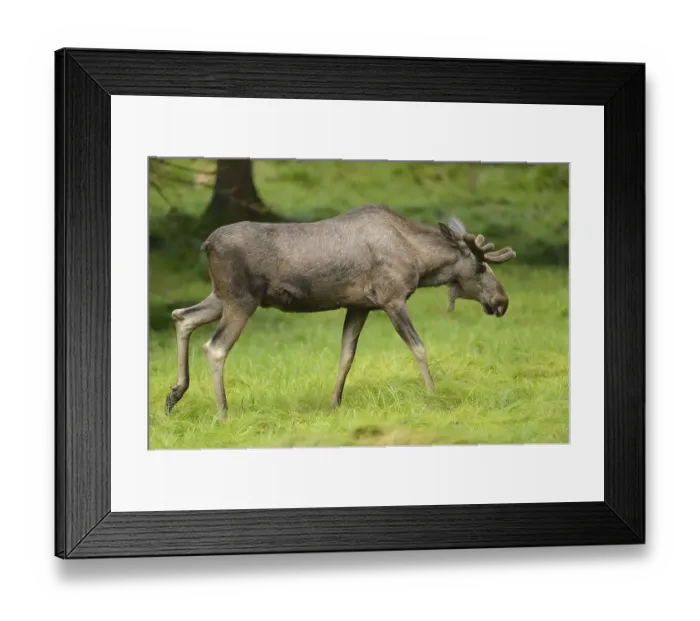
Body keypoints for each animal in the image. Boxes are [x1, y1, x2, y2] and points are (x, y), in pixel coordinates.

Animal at [165, 204, 516, 420]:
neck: (419, 261)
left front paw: (334, 403)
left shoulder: (359, 305)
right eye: (481, 267)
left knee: (182, 316)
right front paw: (433, 396)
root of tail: (207, 244)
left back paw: (174, 396)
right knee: (215, 347)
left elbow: (346, 355)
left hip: (220, 296)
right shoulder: (392, 299)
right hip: (241, 300)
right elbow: (418, 347)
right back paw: (222, 412)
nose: (502, 301)